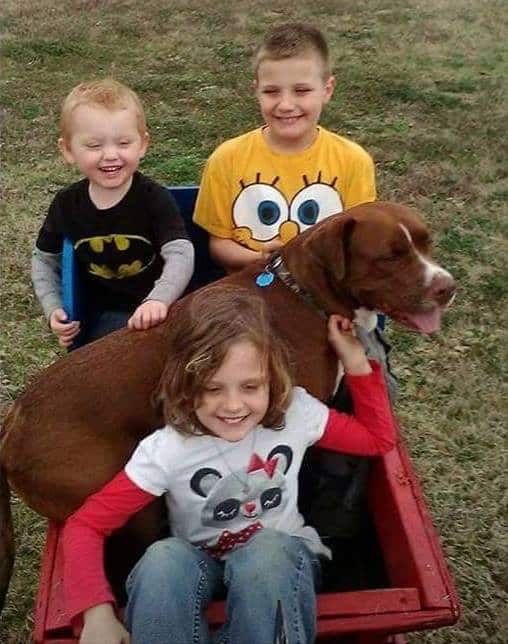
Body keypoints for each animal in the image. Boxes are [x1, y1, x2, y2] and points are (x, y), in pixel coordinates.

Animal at [0, 200, 454, 608]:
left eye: (427, 243)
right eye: (389, 257)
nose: (448, 287)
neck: (306, 294)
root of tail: (12, 423)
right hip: (121, 497)